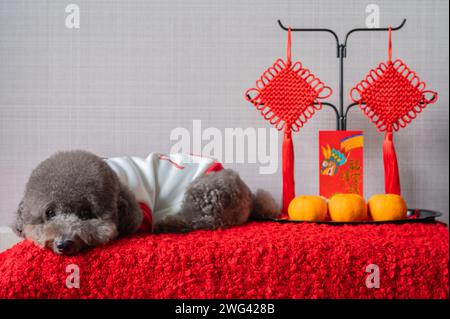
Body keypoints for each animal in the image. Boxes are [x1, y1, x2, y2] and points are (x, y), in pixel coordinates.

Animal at [13, 151, 278, 256]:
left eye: (86, 212)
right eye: (49, 212)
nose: (63, 244)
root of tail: (248, 194)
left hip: (205, 192)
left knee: (204, 220)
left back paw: (168, 224)